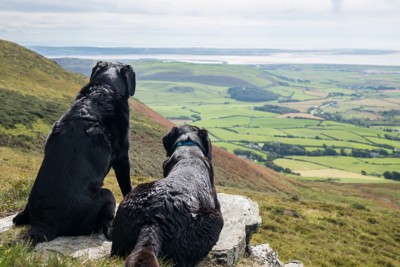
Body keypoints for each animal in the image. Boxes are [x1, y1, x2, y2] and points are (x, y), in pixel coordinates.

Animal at [12, 61, 136, 246]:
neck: (104, 87)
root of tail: (44, 223)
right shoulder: (122, 158)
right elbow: (126, 187)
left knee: (18, 218)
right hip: (107, 194)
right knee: (105, 226)